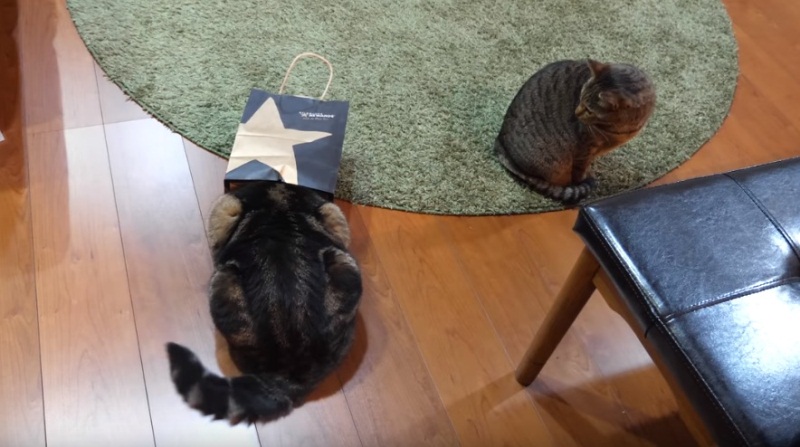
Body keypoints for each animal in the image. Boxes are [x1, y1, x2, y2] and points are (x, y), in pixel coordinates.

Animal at [494, 58, 656, 202]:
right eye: (580, 96)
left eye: (590, 110)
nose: (576, 113)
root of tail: (500, 141)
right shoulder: (584, 150)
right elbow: (579, 172)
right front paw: (582, 181)